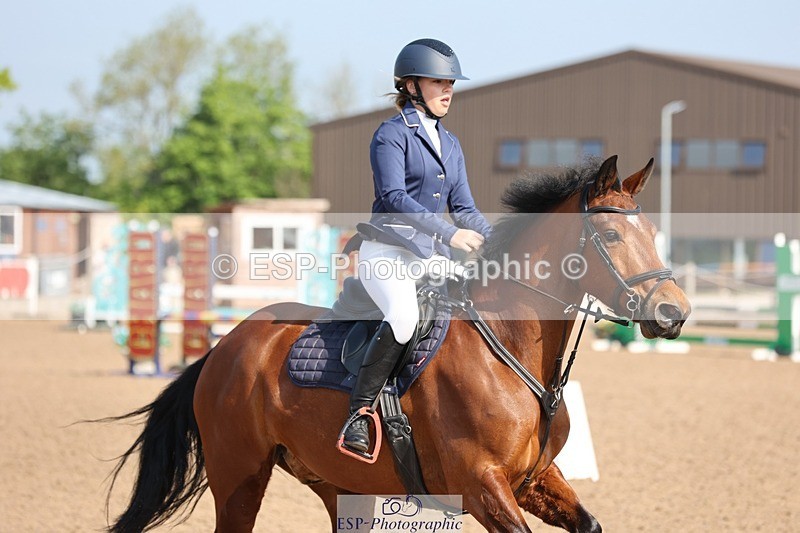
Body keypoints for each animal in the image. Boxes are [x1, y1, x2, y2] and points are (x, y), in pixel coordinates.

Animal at [103, 155, 690, 533]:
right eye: (610, 236)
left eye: (652, 235)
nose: (674, 313)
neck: (508, 350)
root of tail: (224, 347)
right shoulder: (482, 485)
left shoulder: (534, 479)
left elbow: (588, 523)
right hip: (239, 478)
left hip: (341, 485)